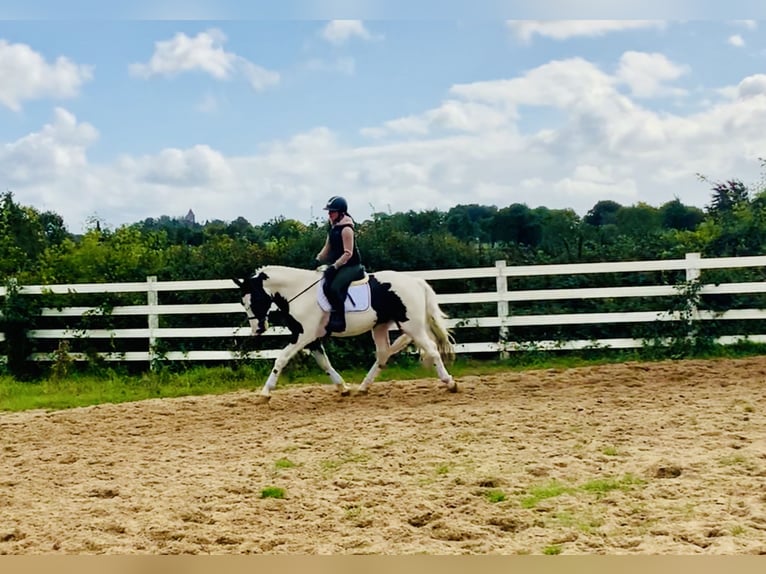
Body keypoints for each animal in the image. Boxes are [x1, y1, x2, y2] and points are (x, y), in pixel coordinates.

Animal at [234, 266, 460, 404]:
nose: (257, 330)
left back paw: (450, 383)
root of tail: (416, 281)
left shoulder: (303, 336)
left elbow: (281, 359)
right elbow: (324, 363)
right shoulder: (312, 339)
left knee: (431, 350)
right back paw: (363, 387)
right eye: (243, 303)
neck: (298, 292)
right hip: (381, 327)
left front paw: (265, 392)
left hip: (412, 326)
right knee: (383, 354)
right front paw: (342, 387)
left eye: (253, 300)